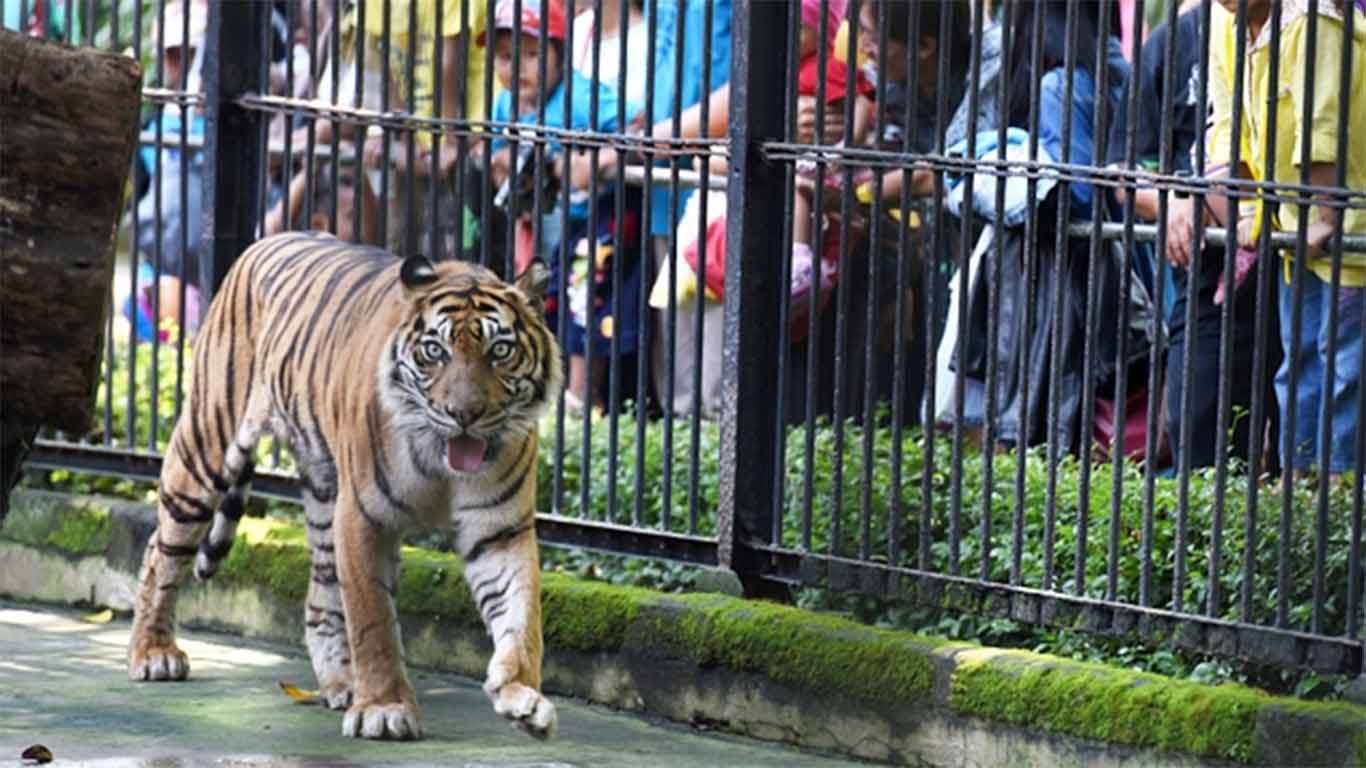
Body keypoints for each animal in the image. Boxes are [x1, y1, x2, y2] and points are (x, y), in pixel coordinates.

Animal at [122, 229, 560, 737]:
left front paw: (521, 697)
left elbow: (521, 617)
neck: (441, 460)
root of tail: (262, 242)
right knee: (159, 552)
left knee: (319, 597)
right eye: (436, 352)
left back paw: (341, 683)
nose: (463, 414)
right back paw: (153, 653)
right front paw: (385, 708)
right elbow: (373, 621)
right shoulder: (364, 517)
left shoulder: (500, 530)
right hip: (204, 447)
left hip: (323, 492)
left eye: (500, 351)